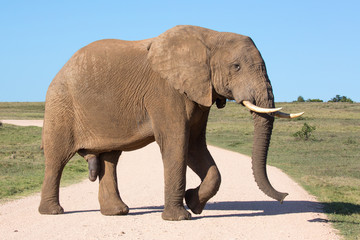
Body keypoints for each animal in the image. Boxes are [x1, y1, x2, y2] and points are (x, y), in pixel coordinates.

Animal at [38, 25, 304, 220]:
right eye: (236, 67)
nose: (284, 196)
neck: (210, 36)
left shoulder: (198, 92)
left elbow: (195, 146)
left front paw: (194, 203)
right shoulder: (165, 91)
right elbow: (177, 141)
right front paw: (179, 217)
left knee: (110, 159)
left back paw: (117, 212)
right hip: (60, 105)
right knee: (57, 158)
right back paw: (53, 212)